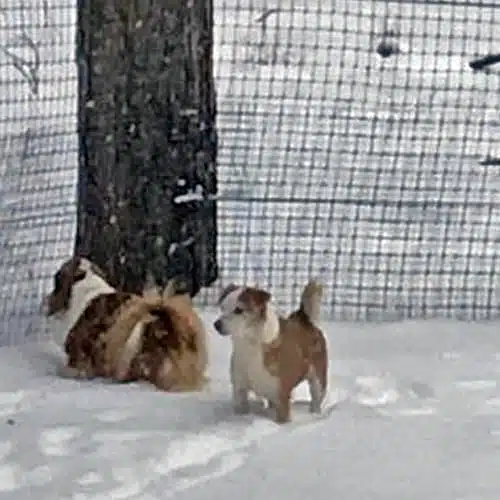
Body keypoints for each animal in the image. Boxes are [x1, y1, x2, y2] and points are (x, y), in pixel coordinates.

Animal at [212, 280, 326, 424]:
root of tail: (305, 321)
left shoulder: (282, 394)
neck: (250, 345)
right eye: (222, 307)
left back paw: (315, 414)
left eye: (238, 310)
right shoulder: (239, 390)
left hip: (318, 380)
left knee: (316, 398)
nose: (216, 324)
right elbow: (240, 407)